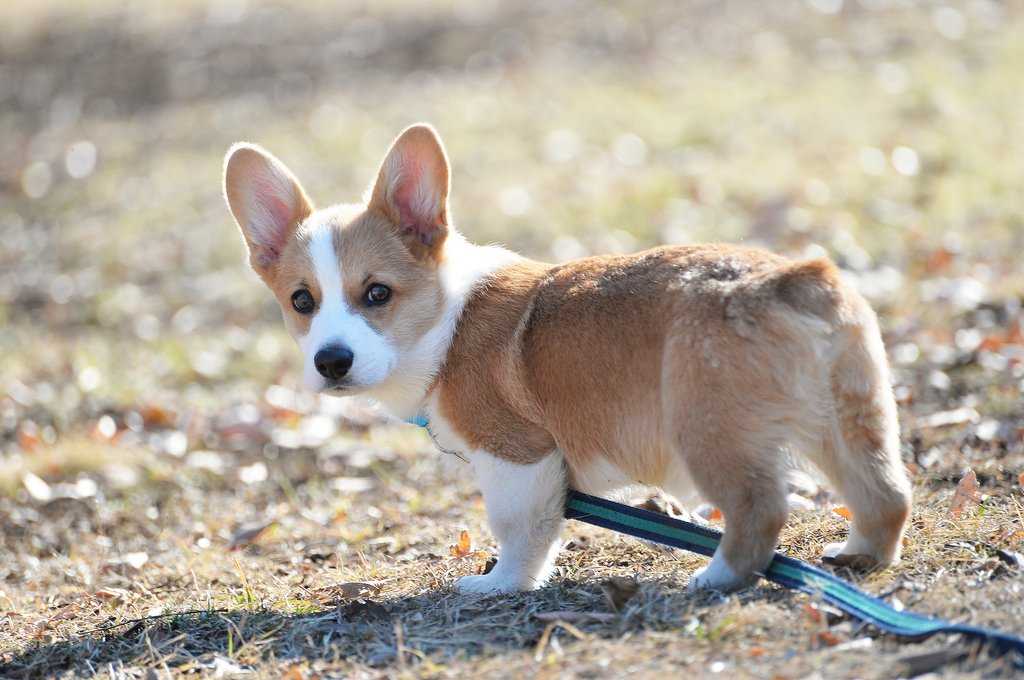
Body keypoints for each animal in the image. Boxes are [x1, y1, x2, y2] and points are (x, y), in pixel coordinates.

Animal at [222, 124, 913, 593]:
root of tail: (786, 278)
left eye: (376, 294)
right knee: (884, 493)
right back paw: (859, 556)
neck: (446, 321)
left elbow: (520, 533)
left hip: (709, 431)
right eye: (302, 301)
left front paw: (500, 585)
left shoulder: (517, 459)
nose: (331, 362)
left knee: (759, 509)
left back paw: (717, 576)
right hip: (848, 418)